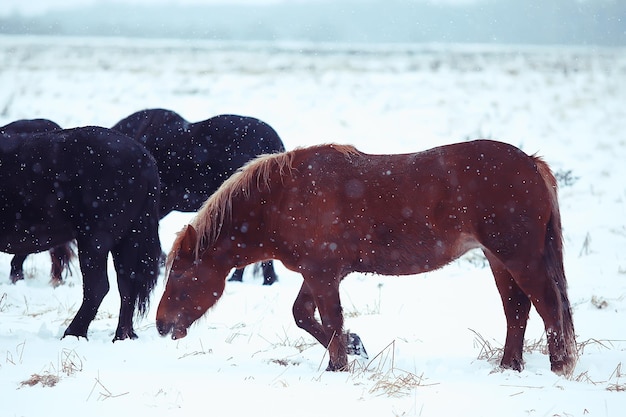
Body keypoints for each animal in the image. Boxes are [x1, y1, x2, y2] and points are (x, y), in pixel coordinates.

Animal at [155, 141, 576, 376]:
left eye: (181, 276)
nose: (161, 325)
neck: (282, 197)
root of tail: (531, 163)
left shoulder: (323, 274)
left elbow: (328, 320)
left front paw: (340, 365)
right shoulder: (319, 273)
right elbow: (304, 316)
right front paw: (353, 347)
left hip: (518, 257)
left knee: (547, 304)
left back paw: (560, 365)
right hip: (498, 258)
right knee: (517, 309)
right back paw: (509, 366)